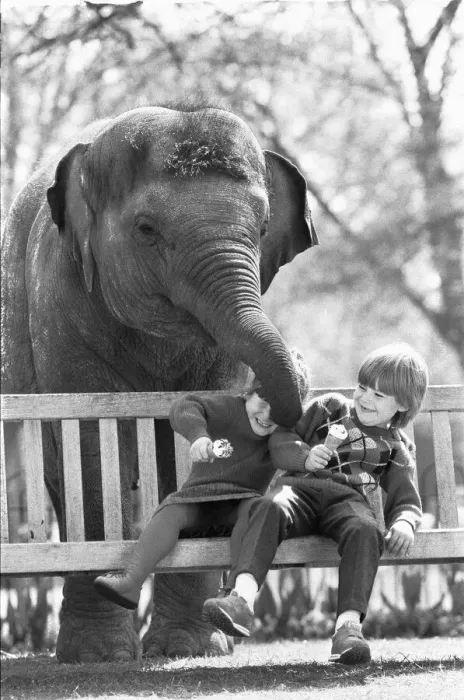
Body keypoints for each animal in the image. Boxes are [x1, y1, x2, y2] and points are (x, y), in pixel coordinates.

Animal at [1, 101, 318, 662]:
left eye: (261, 229)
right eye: (146, 229)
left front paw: (188, 648)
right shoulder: (58, 303)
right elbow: (89, 440)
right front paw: (98, 657)